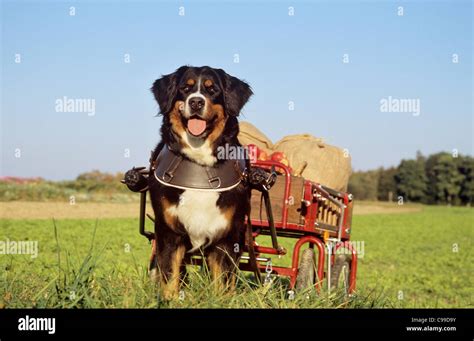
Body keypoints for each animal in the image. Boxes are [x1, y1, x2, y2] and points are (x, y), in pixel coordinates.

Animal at [148, 64, 254, 298]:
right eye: (185, 89)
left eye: (212, 89)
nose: (196, 101)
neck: (199, 162)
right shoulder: (168, 232)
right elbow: (169, 277)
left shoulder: (227, 236)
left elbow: (222, 283)